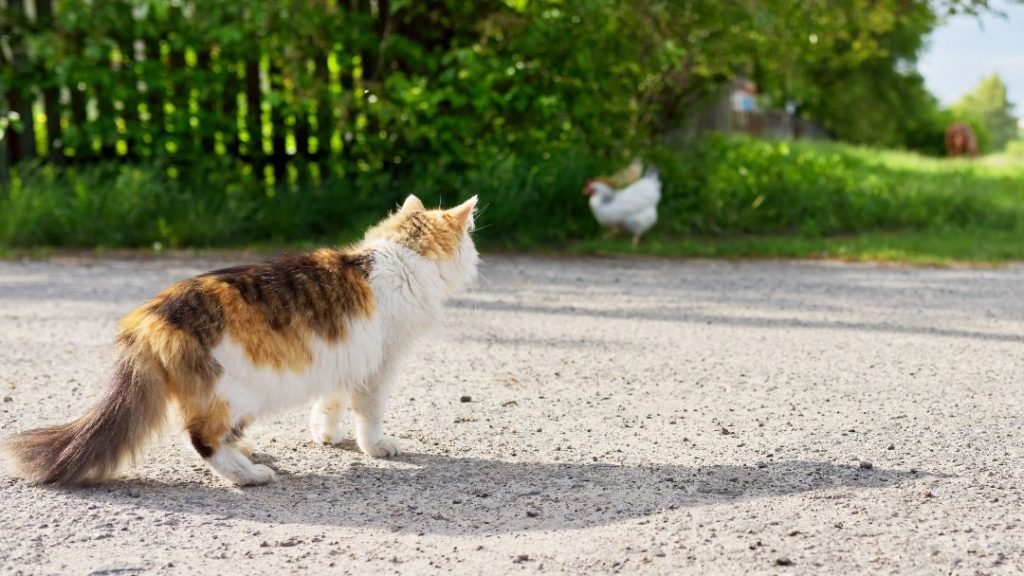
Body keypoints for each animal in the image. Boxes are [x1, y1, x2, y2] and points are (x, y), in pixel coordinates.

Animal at [3, 193, 479, 483]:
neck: (400, 258)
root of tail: (150, 315)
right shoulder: (380, 366)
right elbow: (370, 414)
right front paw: (377, 447)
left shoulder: (344, 357)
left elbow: (330, 404)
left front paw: (327, 436)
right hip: (238, 390)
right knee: (201, 439)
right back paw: (248, 475)